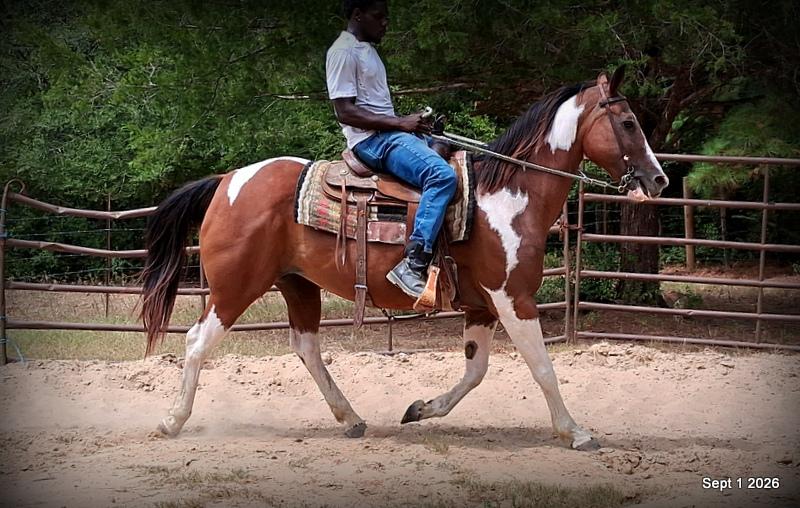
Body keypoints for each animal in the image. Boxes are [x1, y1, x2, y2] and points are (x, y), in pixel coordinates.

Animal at [140, 67, 668, 450]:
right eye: (628, 123)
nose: (659, 179)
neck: (507, 196)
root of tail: (227, 181)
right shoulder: (512, 298)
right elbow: (542, 367)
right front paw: (575, 431)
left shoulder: (482, 306)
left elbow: (476, 372)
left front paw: (420, 410)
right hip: (235, 286)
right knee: (197, 342)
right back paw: (171, 421)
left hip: (297, 284)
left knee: (306, 347)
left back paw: (351, 418)